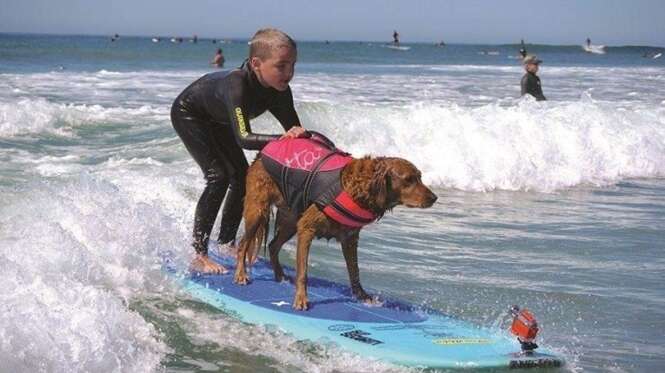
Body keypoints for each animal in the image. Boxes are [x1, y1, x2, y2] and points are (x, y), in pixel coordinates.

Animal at [233, 154, 436, 308]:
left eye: (420, 176)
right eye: (409, 179)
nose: (434, 197)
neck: (358, 187)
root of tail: (259, 157)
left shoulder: (350, 238)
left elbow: (355, 271)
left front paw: (362, 296)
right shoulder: (306, 228)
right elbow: (303, 272)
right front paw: (301, 299)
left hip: (291, 219)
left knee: (273, 245)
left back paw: (280, 275)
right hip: (258, 210)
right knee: (243, 244)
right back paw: (241, 275)